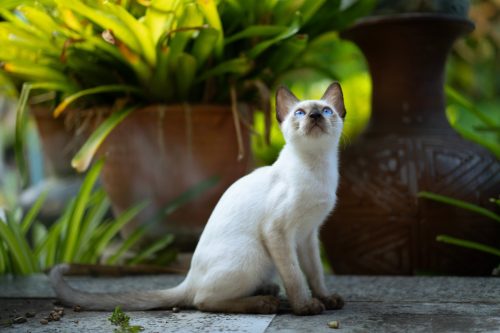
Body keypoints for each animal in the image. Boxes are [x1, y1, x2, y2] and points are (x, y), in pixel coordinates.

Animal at [50, 81, 348, 316]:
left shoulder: (308, 234)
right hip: (254, 255)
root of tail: (188, 278)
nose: (314, 116)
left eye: (326, 111)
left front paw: (326, 299)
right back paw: (264, 302)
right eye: (300, 112)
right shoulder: (278, 231)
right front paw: (305, 307)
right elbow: (296, 277)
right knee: (202, 300)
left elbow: (315, 273)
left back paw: (267, 290)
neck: (317, 168)